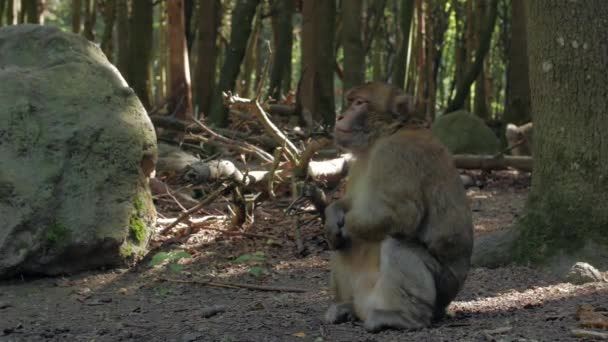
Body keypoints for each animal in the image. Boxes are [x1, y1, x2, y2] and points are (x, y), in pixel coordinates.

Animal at [324, 81, 476, 332]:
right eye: (350, 101)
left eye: (359, 103)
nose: (340, 116)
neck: (383, 135)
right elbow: (351, 203)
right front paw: (332, 214)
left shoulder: (396, 153)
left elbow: (400, 215)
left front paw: (346, 226)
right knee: (340, 249)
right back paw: (346, 307)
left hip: (442, 289)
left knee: (397, 245)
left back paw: (404, 318)